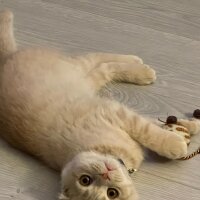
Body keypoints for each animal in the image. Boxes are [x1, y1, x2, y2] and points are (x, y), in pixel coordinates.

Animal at [0, 10, 199, 200]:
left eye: (85, 180)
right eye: (111, 192)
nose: (106, 174)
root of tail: (7, 59)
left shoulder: (116, 112)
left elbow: (150, 130)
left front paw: (185, 129)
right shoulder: (116, 113)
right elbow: (152, 128)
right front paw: (178, 140)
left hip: (77, 68)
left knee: (99, 58)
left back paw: (139, 65)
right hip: (85, 79)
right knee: (105, 67)